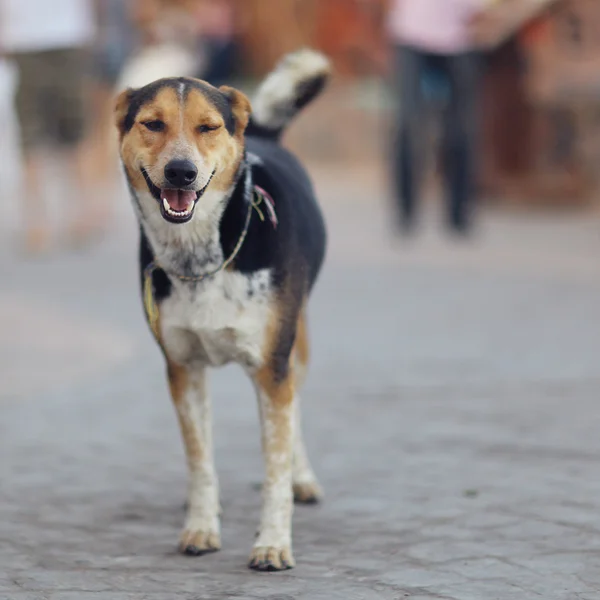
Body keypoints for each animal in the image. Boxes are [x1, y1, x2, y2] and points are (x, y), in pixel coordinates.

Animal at [115, 49, 330, 568]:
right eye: (153, 124)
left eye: (208, 127)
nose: (181, 172)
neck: (200, 256)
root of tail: (265, 135)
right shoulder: (183, 369)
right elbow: (200, 461)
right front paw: (200, 526)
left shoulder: (271, 368)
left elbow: (274, 468)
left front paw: (272, 543)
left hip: (295, 347)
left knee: (294, 414)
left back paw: (303, 479)